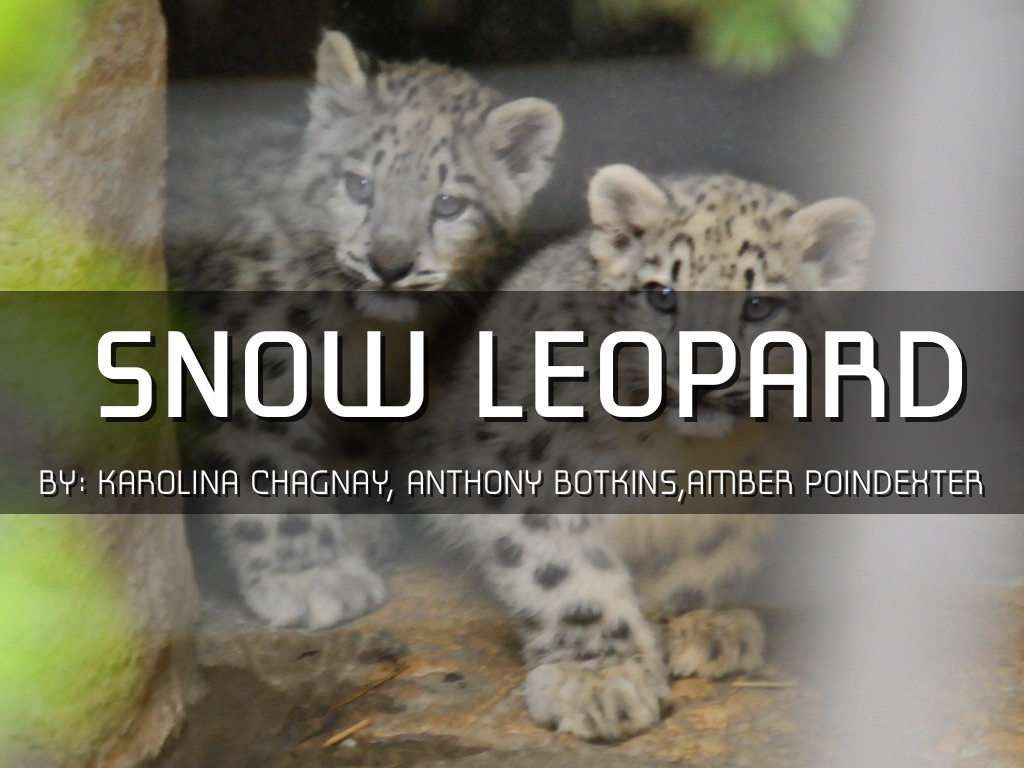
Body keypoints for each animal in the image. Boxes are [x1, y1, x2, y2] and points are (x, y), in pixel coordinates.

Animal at [168, 30, 563, 631]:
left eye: (448, 204)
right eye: (358, 185)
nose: (389, 263)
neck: (365, 335)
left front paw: (353, 523)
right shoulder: (251, 363)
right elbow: (265, 466)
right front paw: (310, 575)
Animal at [398, 163, 875, 740]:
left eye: (759, 305)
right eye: (662, 295)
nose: (701, 375)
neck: (680, 453)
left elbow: (710, 559)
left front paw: (698, 624)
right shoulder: (525, 465)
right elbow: (562, 573)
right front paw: (600, 679)